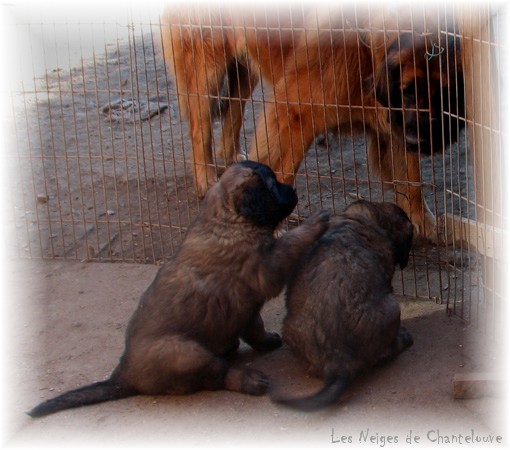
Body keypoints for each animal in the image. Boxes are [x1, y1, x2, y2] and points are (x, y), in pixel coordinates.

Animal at [28, 160, 330, 416]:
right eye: (273, 184)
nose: (293, 190)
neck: (228, 219)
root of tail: (122, 375)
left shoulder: (245, 306)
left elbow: (254, 327)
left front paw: (267, 341)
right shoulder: (266, 267)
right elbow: (290, 243)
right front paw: (315, 222)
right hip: (186, 353)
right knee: (218, 375)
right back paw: (250, 380)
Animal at [161, 4, 464, 243]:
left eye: (444, 94)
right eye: (408, 90)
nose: (417, 141)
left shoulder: (395, 121)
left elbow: (411, 177)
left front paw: (424, 223)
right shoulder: (295, 111)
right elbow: (283, 171)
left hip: (245, 69)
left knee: (234, 108)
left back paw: (233, 159)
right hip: (206, 65)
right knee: (200, 128)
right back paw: (205, 179)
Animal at [272, 200, 412, 412]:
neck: (359, 217)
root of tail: (338, 362)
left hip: (289, 329)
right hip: (393, 308)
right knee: (385, 352)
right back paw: (404, 338)